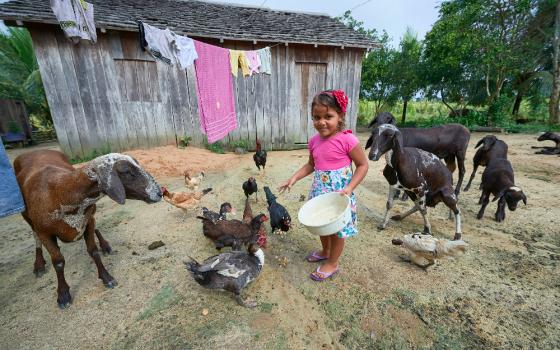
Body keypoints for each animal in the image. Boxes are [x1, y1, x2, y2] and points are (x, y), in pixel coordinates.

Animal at [14, 149, 162, 308]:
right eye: (127, 171)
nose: (160, 192)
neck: (62, 192)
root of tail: (35, 151)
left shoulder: (89, 221)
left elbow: (93, 251)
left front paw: (106, 277)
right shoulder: (44, 233)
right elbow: (58, 262)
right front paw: (63, 295)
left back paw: (105, 245)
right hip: (26, 216)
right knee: (34, 236)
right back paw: (39, 264)